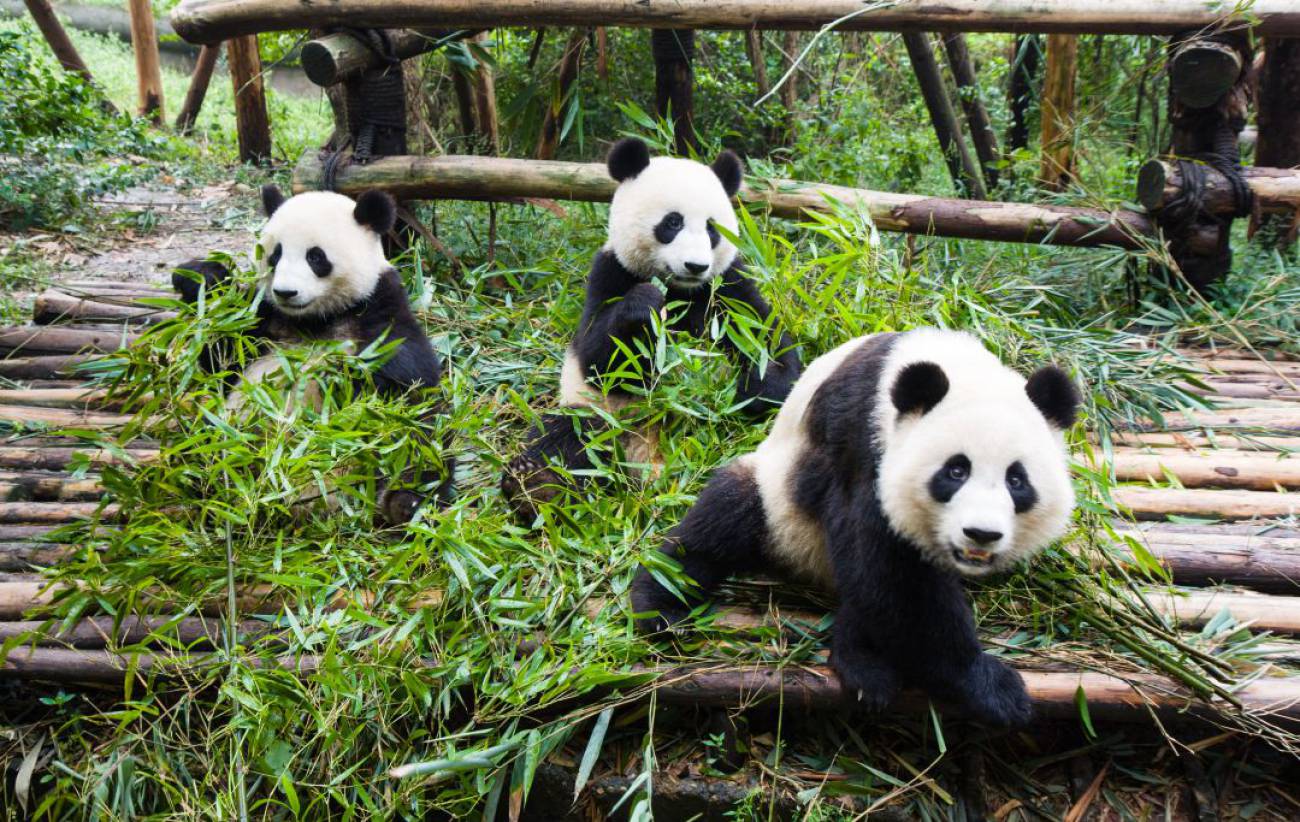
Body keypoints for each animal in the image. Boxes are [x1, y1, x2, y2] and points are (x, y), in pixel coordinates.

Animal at [172, 185, 451, 523]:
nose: (285, 292)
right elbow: (220, 356)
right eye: (275, 255)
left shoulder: (379, 311)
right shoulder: (263, 320)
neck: (314, 320)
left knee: (423, 452)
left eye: (316, 257)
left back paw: (404, 504)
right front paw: (200, 277)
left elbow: (406, 382)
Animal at [501, 138, 803, 521]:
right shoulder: (610, 271)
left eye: (711, 229)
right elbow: (597, 357)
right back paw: (537, 487)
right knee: (566, 435)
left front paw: (748, 386)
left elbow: (769, 344)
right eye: (672, 222)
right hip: (603, 418)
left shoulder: (728, 285)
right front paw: (645, 305)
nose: (696, 265)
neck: (680, 289)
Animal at [630, 328, 1080, 726]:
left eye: (1016, 480)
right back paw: (661, 606)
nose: (981, 534)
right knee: (720, 523)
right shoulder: (864, 443)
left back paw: (860, 658)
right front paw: (990, 684)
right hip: (778, 504)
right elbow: (892, 573)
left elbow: (883, 581)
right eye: (956, 471)